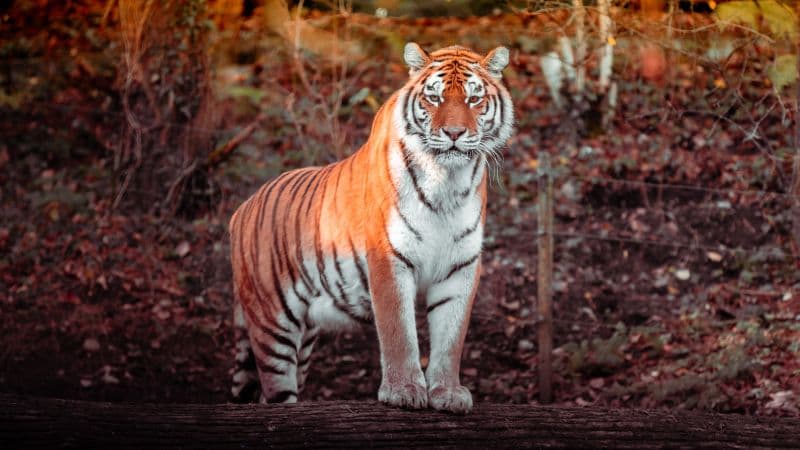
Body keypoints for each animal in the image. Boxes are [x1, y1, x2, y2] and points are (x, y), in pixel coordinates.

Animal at [228, 43, 514, 413]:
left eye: (473, 99)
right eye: (434, 98)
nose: (453, 134)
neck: (447, 183)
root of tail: (241, 209)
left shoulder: (460, 266)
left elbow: (451, 338)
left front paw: (448, 393)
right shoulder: (388, 258)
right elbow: (398, 333)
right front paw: (404, 390)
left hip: (304, 339)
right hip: (272, 324)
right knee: (273, 391)